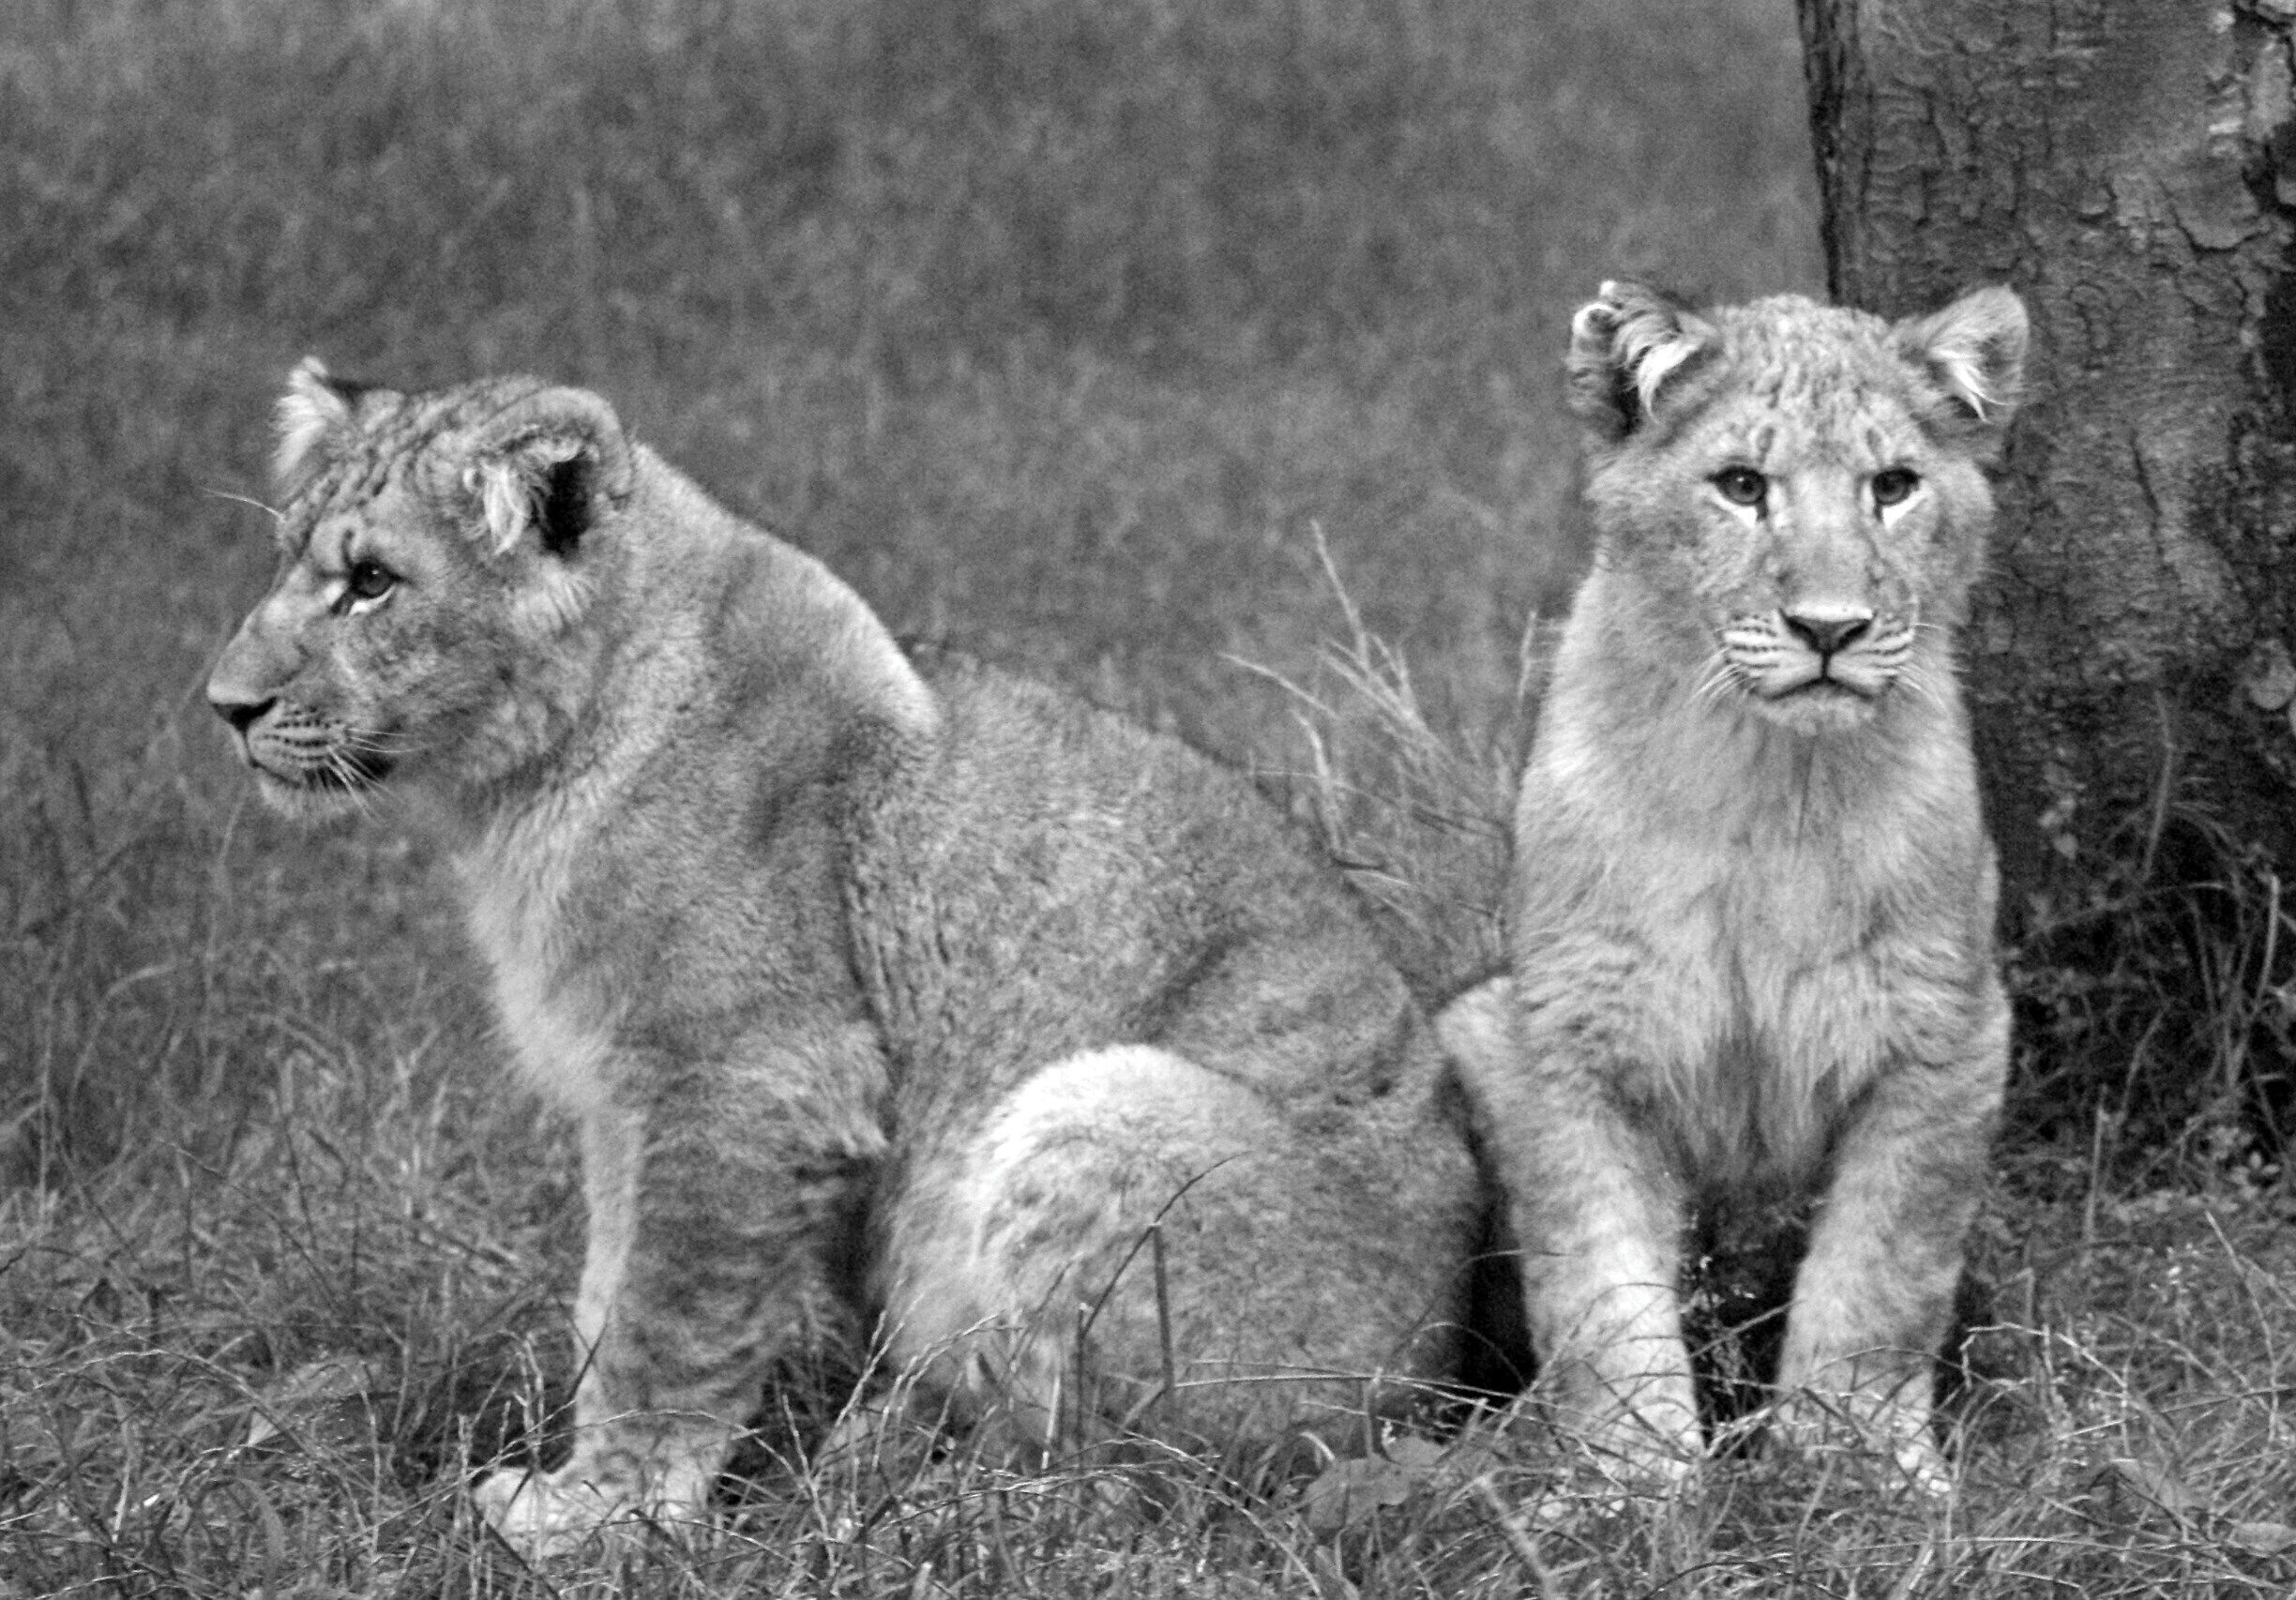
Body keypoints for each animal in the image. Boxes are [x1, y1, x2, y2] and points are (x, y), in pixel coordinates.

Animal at [206, 361, 1484, 1556]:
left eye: (373, 582)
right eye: (285, 563)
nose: (223, 705)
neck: (522, 788)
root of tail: (1439, 1372)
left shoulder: (751, 1075)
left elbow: (667, 1319)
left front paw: (603, 1517)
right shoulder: (626, 1097)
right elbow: (605, 1293)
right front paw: (592, 1483)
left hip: (1095, 1108)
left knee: (1159, 1489)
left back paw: (941, 1499)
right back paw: (882, 1441)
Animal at [1438, 281, 2027, 1492]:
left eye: (1892, 485)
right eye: (1743, 485)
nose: (1831, 629)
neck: (1770, 787)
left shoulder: (1945, 1033)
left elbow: (1878, 1272)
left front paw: (1854, 1469)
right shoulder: (1564, 1038)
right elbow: (1602, 1292)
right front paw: (1631, 1484)